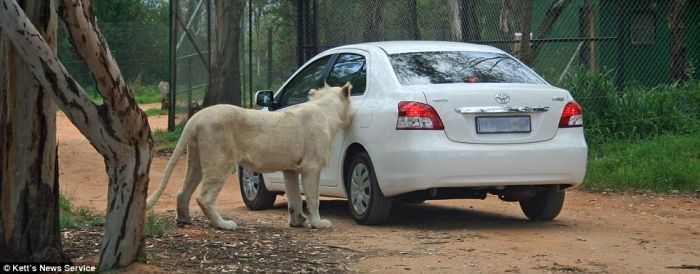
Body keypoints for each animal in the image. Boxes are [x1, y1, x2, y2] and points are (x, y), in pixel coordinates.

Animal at [146, 83, 352, 229]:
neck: (326, 110)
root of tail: (196, 117)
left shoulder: (290, 168)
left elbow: (293, 196)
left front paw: (297, 221)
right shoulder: (311, 165)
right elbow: (313, 197)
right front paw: (319, 223)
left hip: (196, 158)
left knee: (183, 192)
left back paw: (184, 219)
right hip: (220, 158)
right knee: (204, 197)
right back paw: (224, 224)